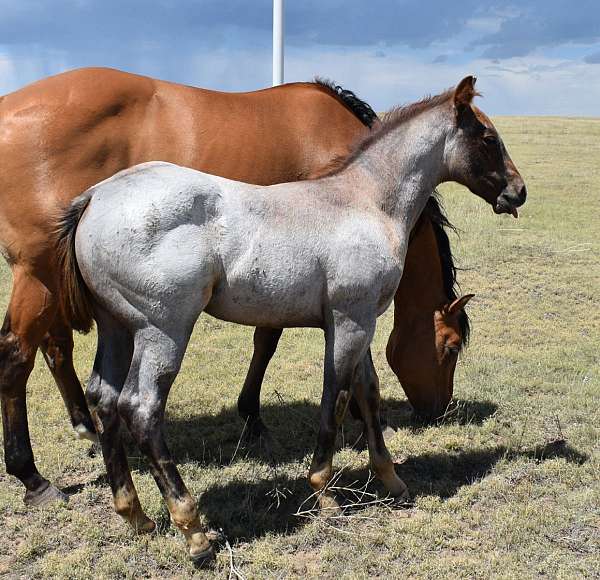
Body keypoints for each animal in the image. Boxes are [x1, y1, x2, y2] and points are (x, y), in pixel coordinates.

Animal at [0, 67, 468, 502]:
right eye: (450, 348)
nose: (437, 411)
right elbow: (272, 340)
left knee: (56, 349)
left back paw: (87, 428)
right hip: (39, 273)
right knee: (17, 355)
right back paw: (32, 476)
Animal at [55, 77, 524, 560]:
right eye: (488, 138)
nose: (518, 191)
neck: (364, 201)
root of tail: (95, 197)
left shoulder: (356, 320)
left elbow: (369, 393)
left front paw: (391, 479)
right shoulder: (349, 322)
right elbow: (336, 397)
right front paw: (325, 494)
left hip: (115, 327)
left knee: (104, 399)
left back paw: (135, 515)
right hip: (163, 330)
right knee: (141, 408)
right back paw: (193, 529)